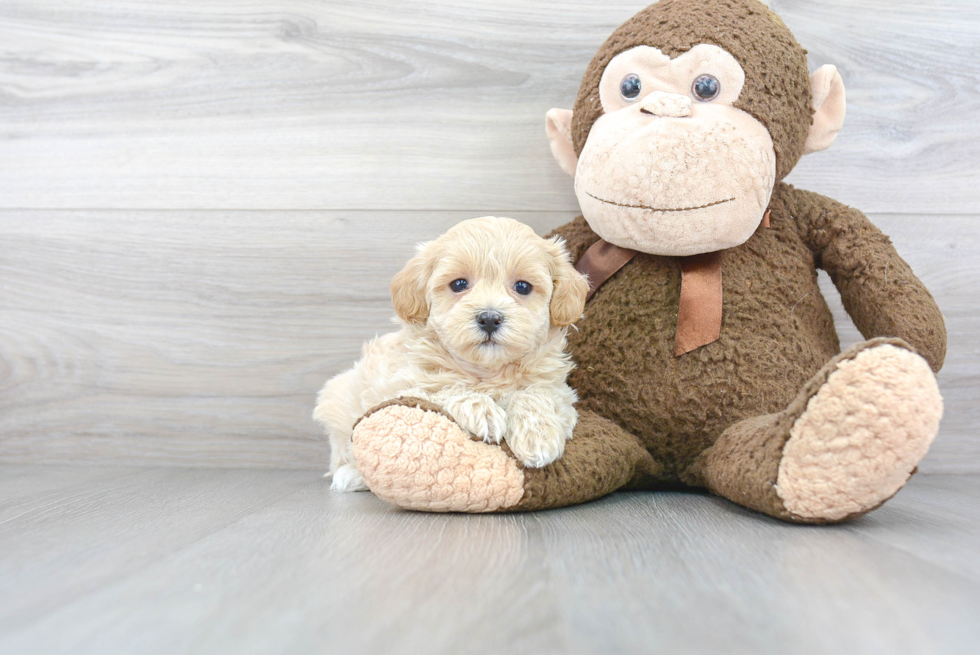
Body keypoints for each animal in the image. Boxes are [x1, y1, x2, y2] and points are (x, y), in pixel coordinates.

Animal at [314, 215, 588, 492]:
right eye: (459, 284)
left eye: (522, 287)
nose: (489, 318)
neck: (487, 371)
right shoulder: (398, 385)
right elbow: (442, 387)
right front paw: (482, 410)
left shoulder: (557, 388)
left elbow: (536, 394)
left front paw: (538, 437)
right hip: (337, 398)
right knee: (344, 453)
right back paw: (351, 475)